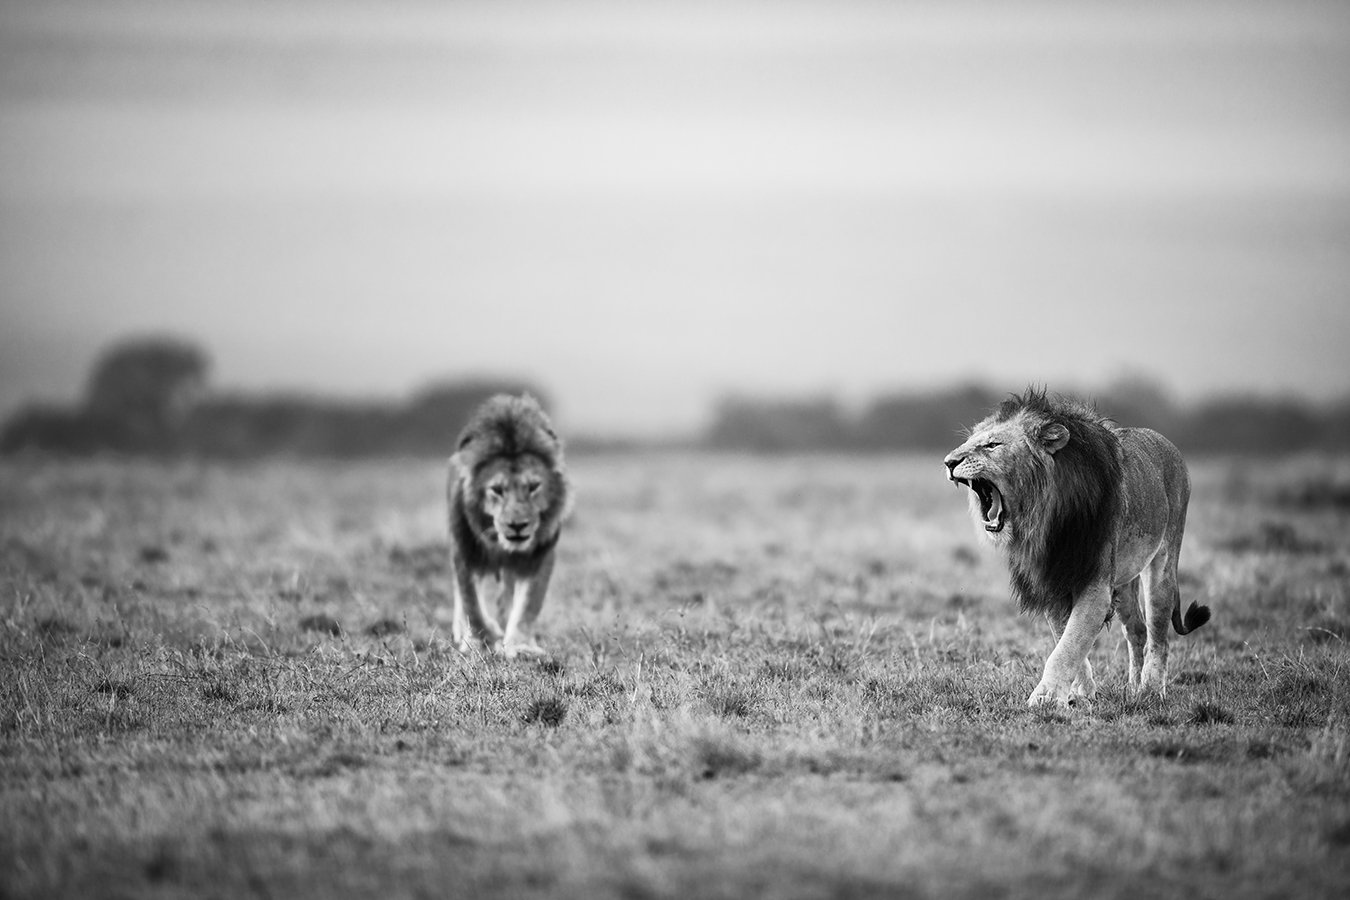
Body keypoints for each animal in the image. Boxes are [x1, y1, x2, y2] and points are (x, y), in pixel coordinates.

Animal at [446, 394, 572, 658]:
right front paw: (482, 640)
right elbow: (471, 601)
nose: (517, 525)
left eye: (533, 486)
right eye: (497, 489)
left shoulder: (539, 556)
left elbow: (528, 605)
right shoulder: (464, 550)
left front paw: (521, 646)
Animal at [943, 388, 1209, 708]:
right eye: (969, 442)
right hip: (1123, 584)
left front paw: (1044, 698)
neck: (1043, 519)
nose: (948, 462)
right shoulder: (1051, 581)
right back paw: (1133, 689)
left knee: (1159, 633)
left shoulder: (1094, 583)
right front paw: (1081, 693)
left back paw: (1151, 690)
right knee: (1138, 630)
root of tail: (1165, 442)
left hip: (1163, 564)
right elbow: (1067, 638)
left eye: (992, 445)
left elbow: (1069, 643)